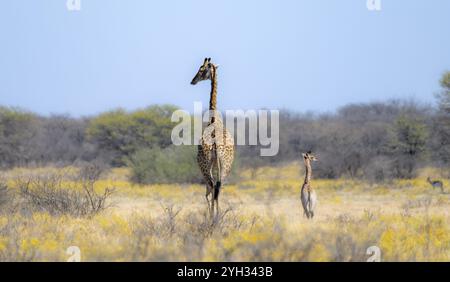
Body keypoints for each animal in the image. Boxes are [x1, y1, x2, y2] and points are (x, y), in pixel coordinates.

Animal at [190, 56, 234, 216]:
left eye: (201, 69)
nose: (192, 81)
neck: (214, 118)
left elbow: (209, 191)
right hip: (224, 166)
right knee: (217, 187)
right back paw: (218, 217)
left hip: (205, 166)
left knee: (210, 188)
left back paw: (212, 217)